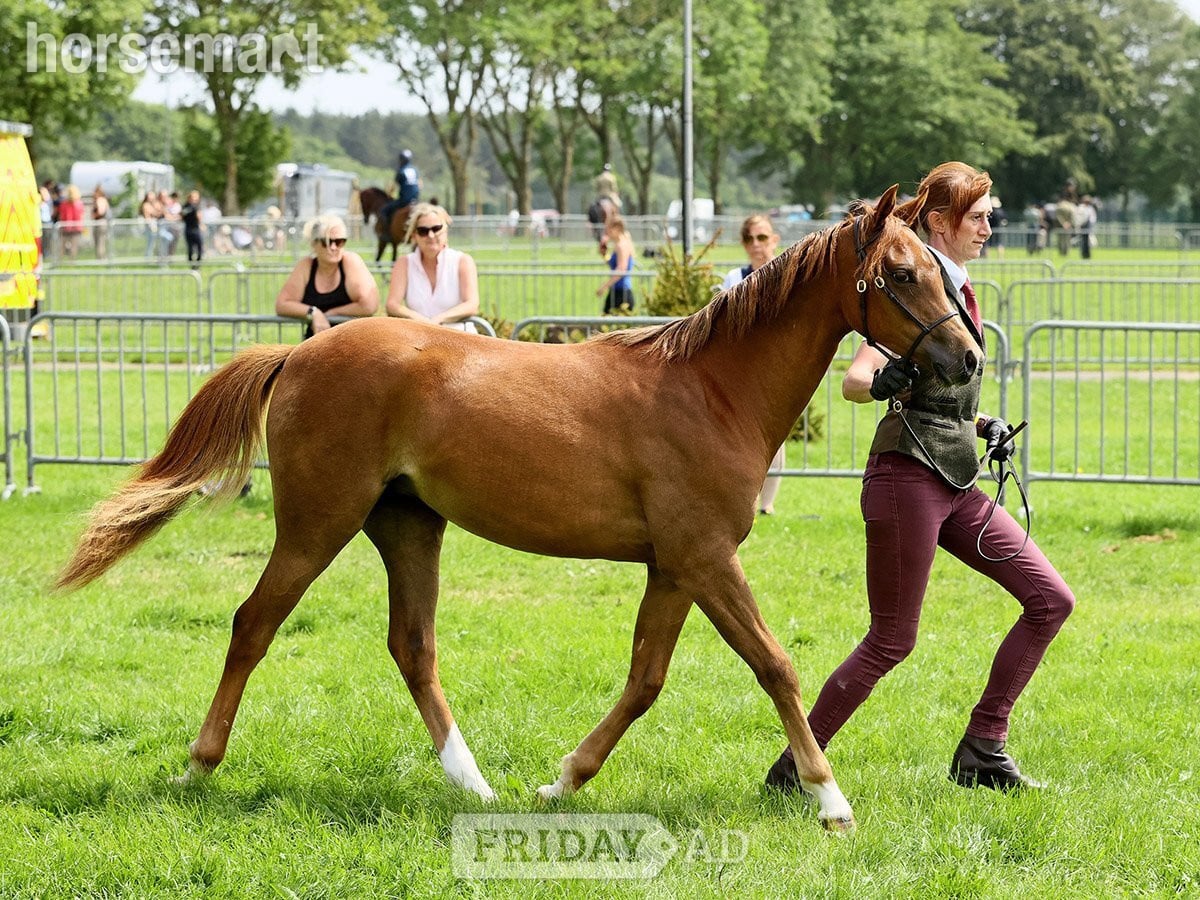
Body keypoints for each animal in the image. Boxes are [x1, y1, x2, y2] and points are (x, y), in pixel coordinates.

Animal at [57, 185, 979, 833]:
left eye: (939, 268)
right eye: (901, 273)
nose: (968, 359)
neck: (713, 388)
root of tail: (300, 353)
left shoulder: (675, 567)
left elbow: (646, 680)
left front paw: (561, 779)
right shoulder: (708, 559)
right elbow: (775, 666)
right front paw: (830, 800)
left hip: (408, 527)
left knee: (412, 647)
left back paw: (472, 782)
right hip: (318, 525)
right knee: (254, 624)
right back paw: (199, 765)